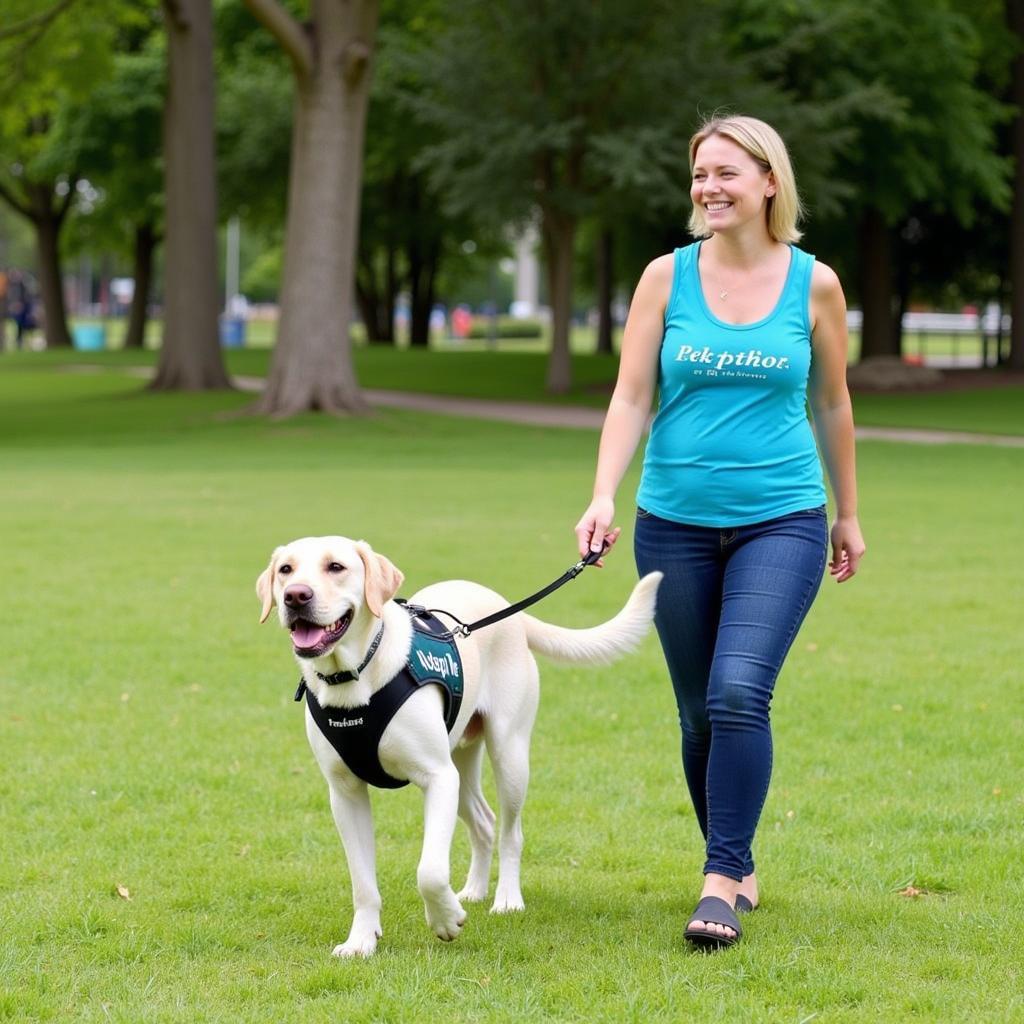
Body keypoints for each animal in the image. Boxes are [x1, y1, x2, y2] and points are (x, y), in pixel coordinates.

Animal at [251, 540, 659, 954]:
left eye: (336, 566)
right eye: (286, 570)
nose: (296, 596)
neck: (355, 678)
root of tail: (507, 609)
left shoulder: (437, 777)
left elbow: (430, 870)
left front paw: (445, 920)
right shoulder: (345, 792)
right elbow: (362, 882)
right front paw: (361, 941)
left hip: (508, 755)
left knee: (510, 831)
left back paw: (507, 899)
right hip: (460, 765)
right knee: (483, 822)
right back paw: (474, 890)